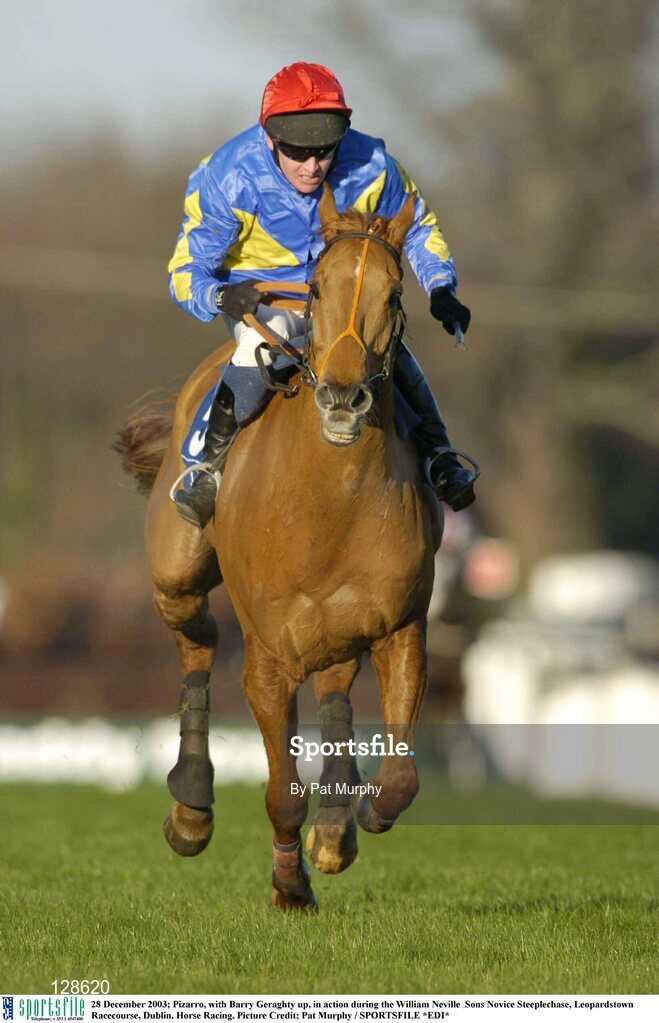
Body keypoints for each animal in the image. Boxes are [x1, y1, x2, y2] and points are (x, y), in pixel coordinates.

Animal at [115, 185, 443, 911]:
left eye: (394, 293)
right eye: (315, 288)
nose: (344, 396)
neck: (329, 505)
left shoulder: (399, 624)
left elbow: (400, 777)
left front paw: (351, 820)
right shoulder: (269, 655)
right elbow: (279, 793)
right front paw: (290, 886)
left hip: (336, 630)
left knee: (336, 692)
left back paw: (336, 819)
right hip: (177, 574)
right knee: (197, 644)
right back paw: (191, 807)